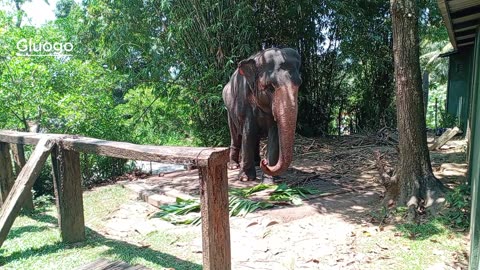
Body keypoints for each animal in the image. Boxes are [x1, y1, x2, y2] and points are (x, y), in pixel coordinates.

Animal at [223, 47, 302, 181]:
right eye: (270, 87)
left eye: (299, 85)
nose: (264, 162)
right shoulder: (245, 103)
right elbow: (248, 132)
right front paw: (245, 179)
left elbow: (274, 134)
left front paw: (270, 180)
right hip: (229, 111)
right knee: (236, 135)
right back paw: (234, 166)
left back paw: (256, 162)